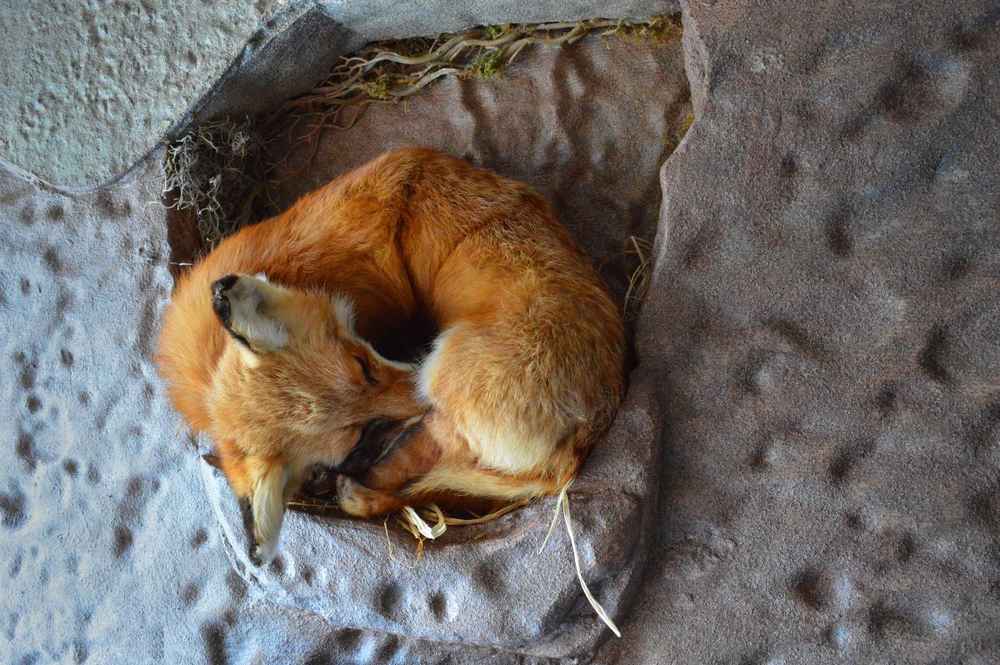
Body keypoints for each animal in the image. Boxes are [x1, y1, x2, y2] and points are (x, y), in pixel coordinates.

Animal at [156, 148, 624, 564]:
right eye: (361, 430)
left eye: (364, 366)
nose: (416, 391)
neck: (309, 271)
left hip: (446, 381)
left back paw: (361, 492)